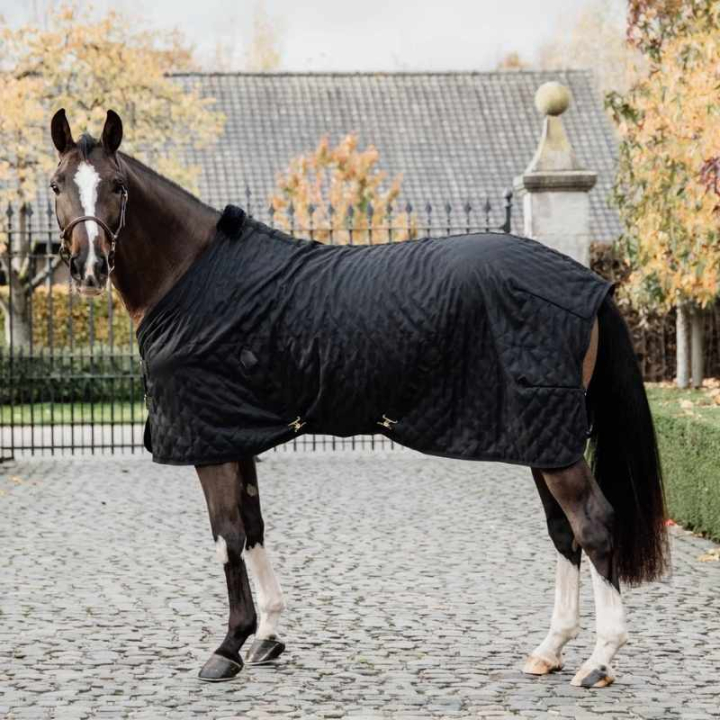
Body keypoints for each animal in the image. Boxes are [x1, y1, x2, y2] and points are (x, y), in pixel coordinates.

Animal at [48, 108, 669, 689]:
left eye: (117, 185)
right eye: (57, 184)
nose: (88, 266)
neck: (194, 276)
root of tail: (590, 284)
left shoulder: (210, 440)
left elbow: (227, 537)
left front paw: (228, 648)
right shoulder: (236, 432)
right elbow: (254, 527)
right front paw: (269, 636)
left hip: (553, 440)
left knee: (594, 526)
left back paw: (599, 660)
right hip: (541, 437)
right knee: (564, 533)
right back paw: (550, 650)